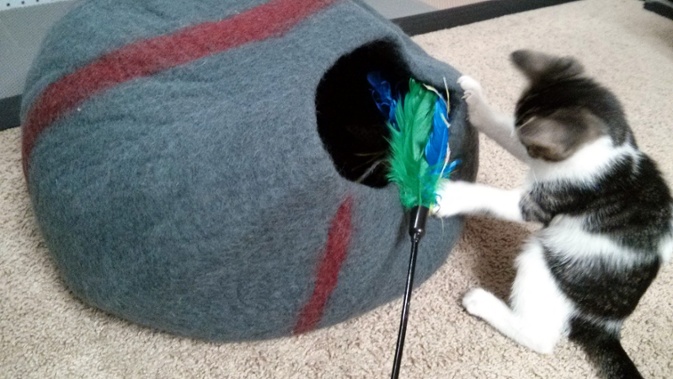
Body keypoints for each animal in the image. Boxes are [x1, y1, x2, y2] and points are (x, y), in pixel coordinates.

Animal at [434, 49, 668, 378]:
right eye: (531, 148)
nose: (531, 150)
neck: (610, 150)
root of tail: (608, 324)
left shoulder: (548, 198)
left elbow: (494, 197)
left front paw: (450, 195)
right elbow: (504, 130)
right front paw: (477, 102)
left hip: (548, 262)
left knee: (542, 339)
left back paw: (482, 303)